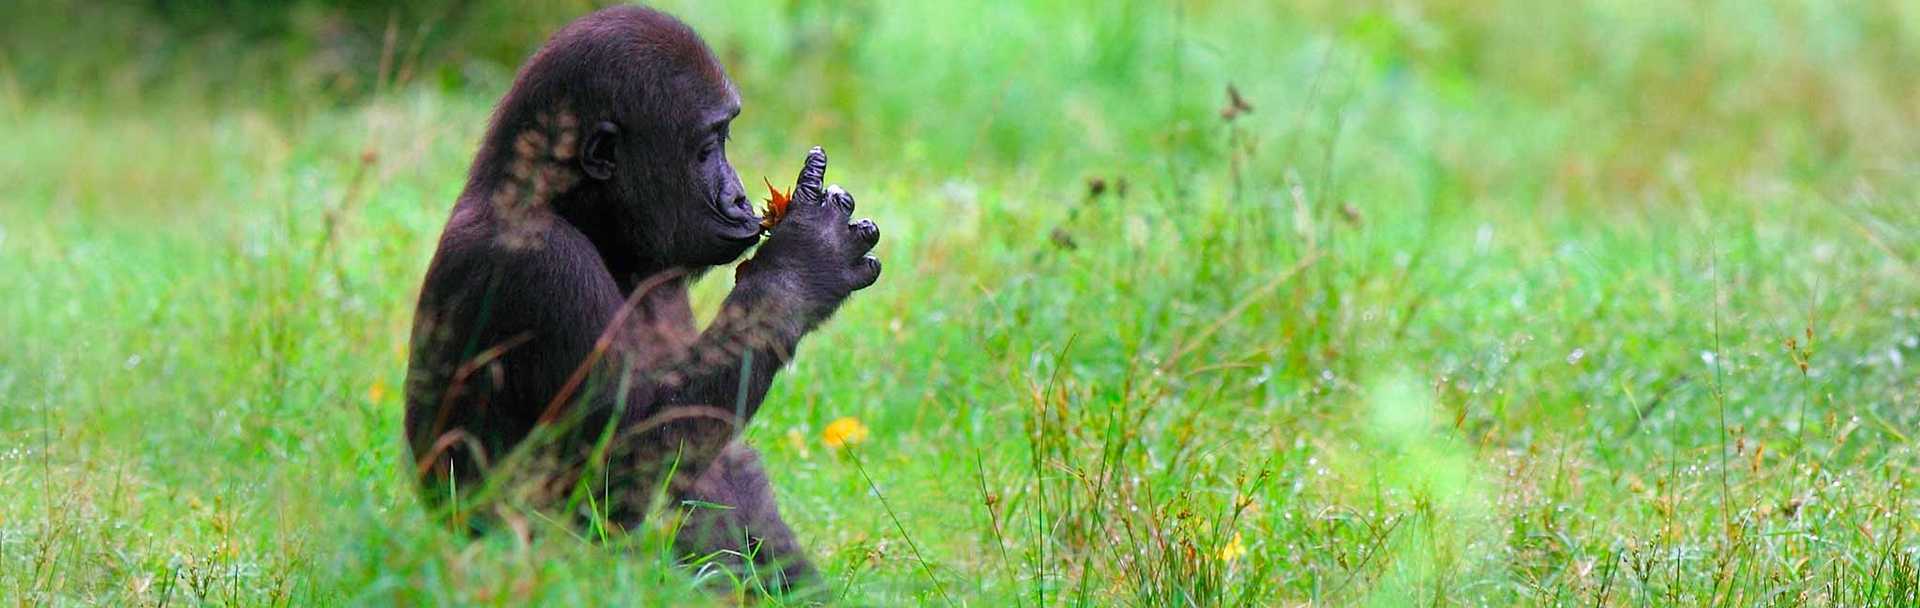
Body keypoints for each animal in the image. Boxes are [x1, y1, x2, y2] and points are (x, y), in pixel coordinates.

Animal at [408, 4, 887, 590]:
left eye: (725, 139)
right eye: (706, 148)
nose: (738, 197)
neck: (564, 203)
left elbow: (722, 459)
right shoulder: (543, 263)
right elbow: (620, 463)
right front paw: (804, 262)